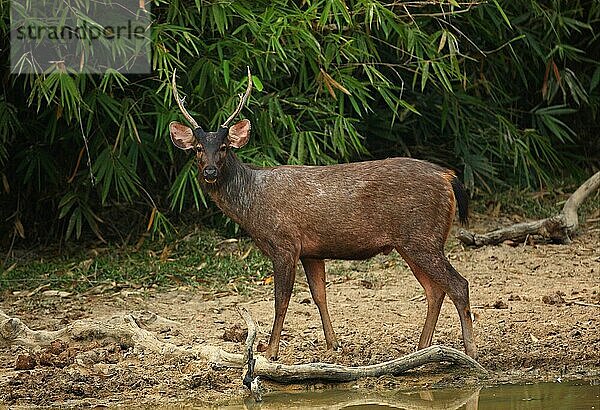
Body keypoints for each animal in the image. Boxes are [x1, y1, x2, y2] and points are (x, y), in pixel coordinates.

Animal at [170, 67, 478, 358]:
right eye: (198, 149)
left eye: (223, 147)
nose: (210, 172)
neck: (252, 205)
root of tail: (448, 177)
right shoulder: (311, 251)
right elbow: (320, 295)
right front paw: (334, 344)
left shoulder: (285, 244)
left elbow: (281, 299)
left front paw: (270, 351)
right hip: (412, 242)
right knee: (435, 290)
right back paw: (423, 348)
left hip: (423, 236)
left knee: (458, 284)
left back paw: (470, 352)